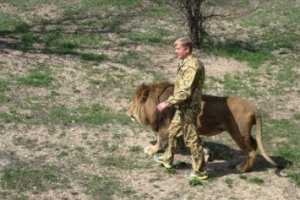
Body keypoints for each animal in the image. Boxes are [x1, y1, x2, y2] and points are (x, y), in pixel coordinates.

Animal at [127, 81, 278, 172]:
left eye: (133, 102)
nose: (127, 112)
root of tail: (254, 108)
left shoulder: (165, 127)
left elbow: (160, 140)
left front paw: (152, 150)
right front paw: (205, 154)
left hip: (238, 133)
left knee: (251, 150)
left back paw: (242, 168)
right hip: (244, 133)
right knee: (255, 145)